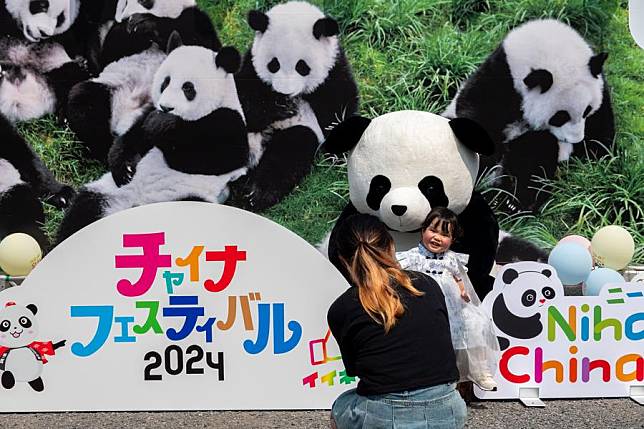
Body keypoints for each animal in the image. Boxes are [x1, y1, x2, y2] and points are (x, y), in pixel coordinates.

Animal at [56, 36, 248, 242]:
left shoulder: (230, 121)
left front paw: (162, 125)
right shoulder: (147, 112)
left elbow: (212, 156)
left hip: (184, 202)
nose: (166, 107)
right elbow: (131, 138)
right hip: (110, 194)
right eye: (165, 82)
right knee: (85, 211)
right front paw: (124, 169)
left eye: (188, 87)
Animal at [231, 0, 360, 211]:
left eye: (302, 66)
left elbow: (339, 108)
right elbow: (243, 102)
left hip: (293, 134)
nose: (284, 92)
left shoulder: (333, 70)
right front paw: (278, 107)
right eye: (273, 64)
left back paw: (256, 193)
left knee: (289, 152)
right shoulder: (250, 67)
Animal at [324, 110, 500, 298]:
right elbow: (339, 249)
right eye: (380, 186)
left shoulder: (471, 212)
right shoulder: (354, 214)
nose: (399, 208)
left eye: (431, 186)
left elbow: (480, 248)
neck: (410, 232)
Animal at [442, 19, 612, 213]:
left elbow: (600, 137)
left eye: (586, 110)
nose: (575, 140)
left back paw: (513, 201)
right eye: (560, 117)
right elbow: (478, 113)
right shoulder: (499, 75)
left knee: (534, 151)